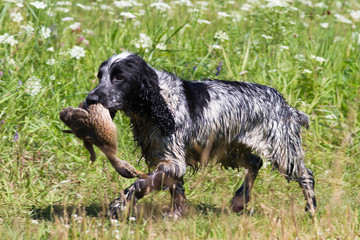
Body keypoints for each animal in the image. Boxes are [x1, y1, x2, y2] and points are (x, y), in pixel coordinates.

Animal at [84, 51, 316, 218]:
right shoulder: (168, 158)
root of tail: (286, 106)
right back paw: (239, 200)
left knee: (306, 175)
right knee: (255, 163)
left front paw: (118, 206)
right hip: (230, 151)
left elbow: (140, 184)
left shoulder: (172, 161)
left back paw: (311, 210)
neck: (157, 103)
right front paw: (176, 215)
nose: (90, 99)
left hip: (282, 152)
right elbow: (176, 189)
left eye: (119, 77)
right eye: (100, 76)